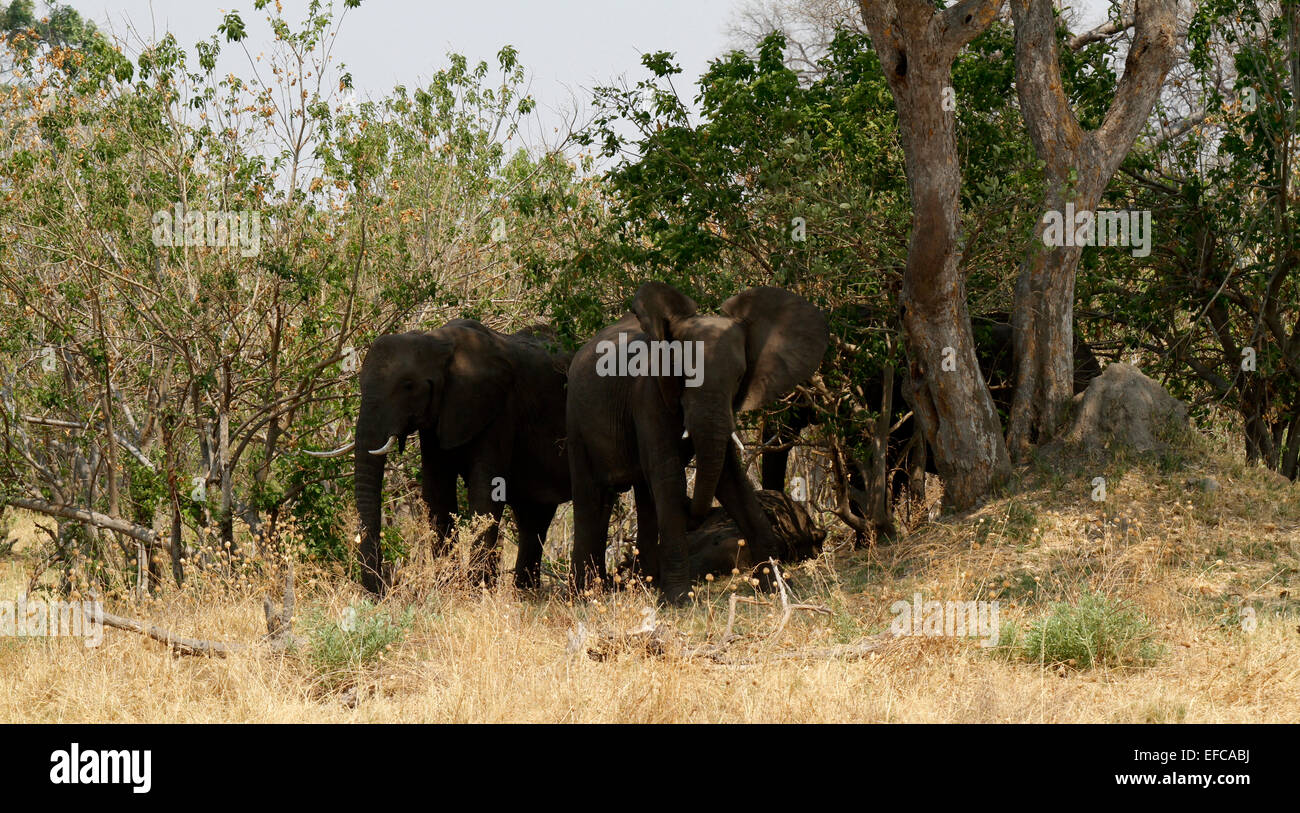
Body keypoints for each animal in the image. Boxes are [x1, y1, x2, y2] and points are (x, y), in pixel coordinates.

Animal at [315, 319, 571, 594]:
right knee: (533, 518)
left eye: (408, 385)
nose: (384, 587)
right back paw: (525, 594)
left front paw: (474, 592)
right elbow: (437, 492)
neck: (436, 343)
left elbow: (485, 491)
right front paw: (447, 588)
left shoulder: (499, 410)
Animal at [565, 282, 829, 604]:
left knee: (643, 494)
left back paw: (644, 586)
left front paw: (777, 588)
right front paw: (679, 601)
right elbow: (669, 477)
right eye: (685, 375)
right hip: (577, 421)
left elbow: (730, 477)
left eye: (739, 378)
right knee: (592, 498)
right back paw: (585, 596)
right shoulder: (648, 394)